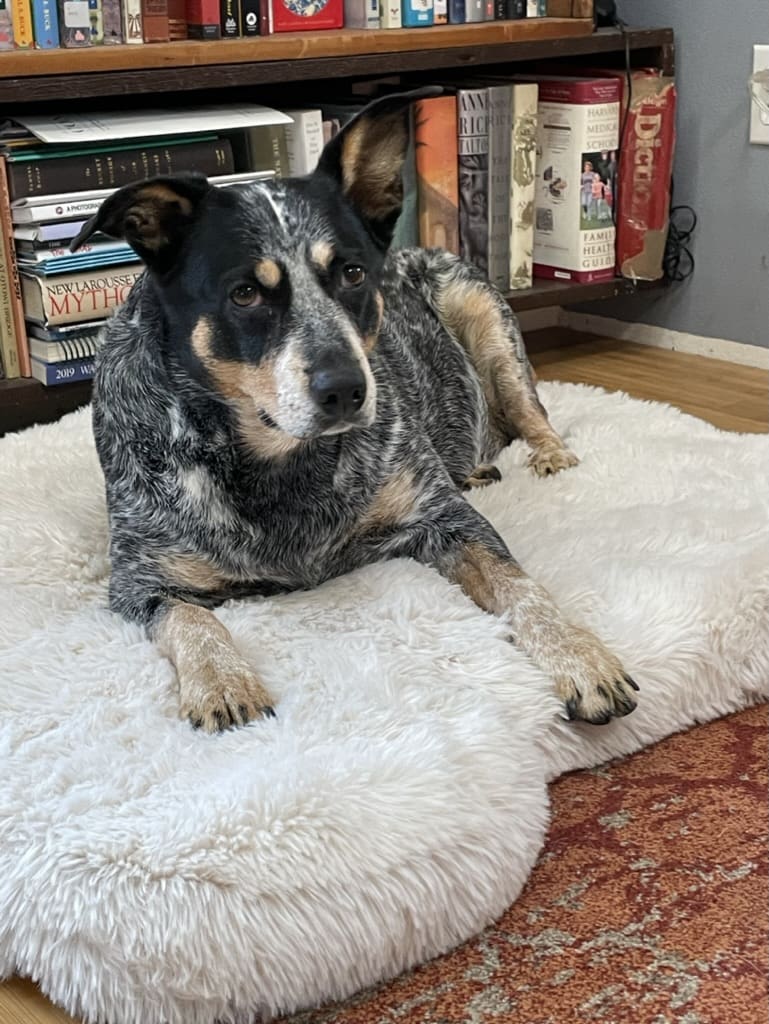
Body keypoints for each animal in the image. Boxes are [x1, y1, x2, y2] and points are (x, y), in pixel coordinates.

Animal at [72, 86, 638, 729]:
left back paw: (541, 455)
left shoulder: (445, 519)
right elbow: (192, 619)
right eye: (245, 293)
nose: (345, 389)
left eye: (352, 273)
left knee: (527, 410)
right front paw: (223, 683)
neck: (276, 461)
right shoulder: (140, 578)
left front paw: (579, 656)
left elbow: (520, 584)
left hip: (481, 313)